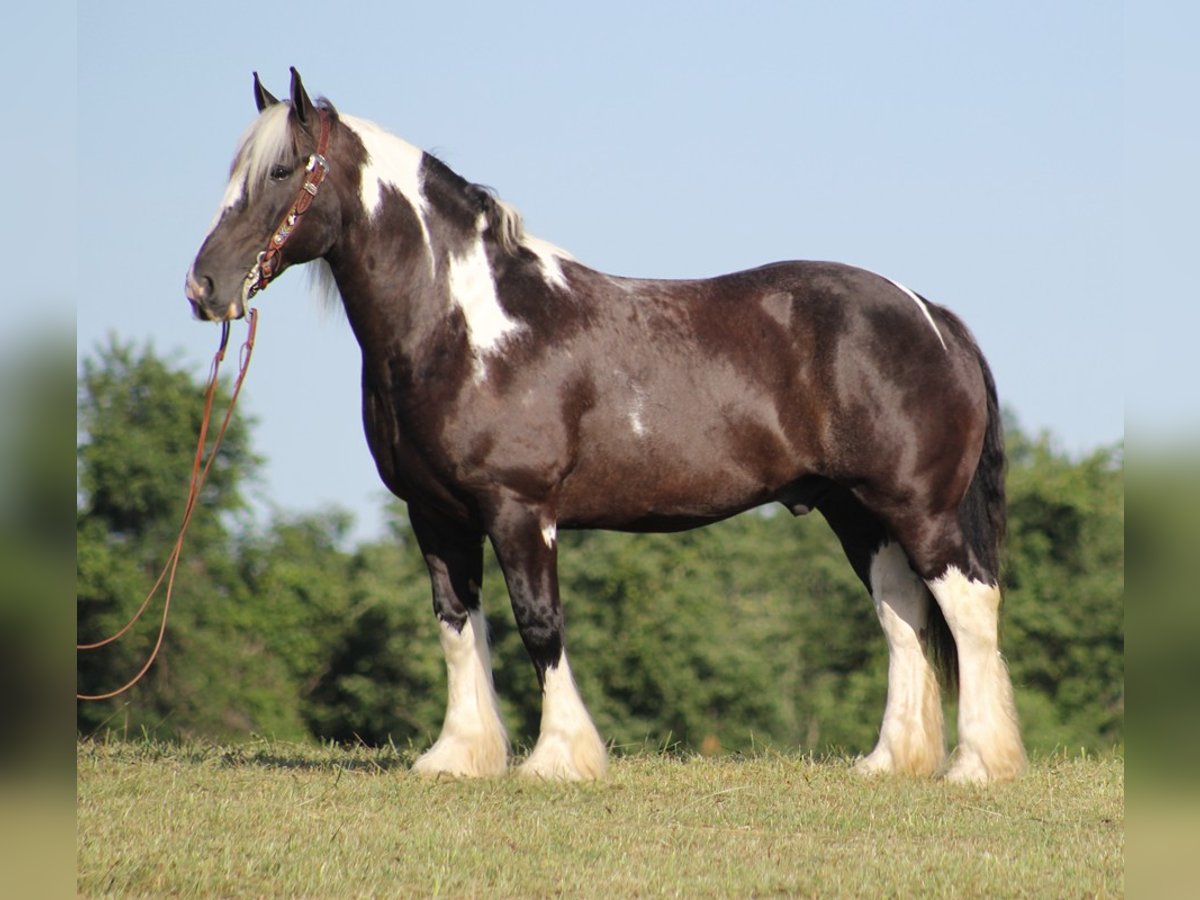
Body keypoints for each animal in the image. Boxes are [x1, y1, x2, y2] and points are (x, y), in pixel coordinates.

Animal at [184, 70, 1022, 782]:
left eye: (283, 172)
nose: (204, 286)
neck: (467, 326)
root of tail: (928, 313)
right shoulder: (435, 514)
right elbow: (458, 626)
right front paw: (459, 756)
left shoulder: (519, 510)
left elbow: (539, 623)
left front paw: (559, 758)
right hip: (858, 514)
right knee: (902, 614)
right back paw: (889, 762)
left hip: (920, 510)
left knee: (969, 611)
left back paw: (979, 766)